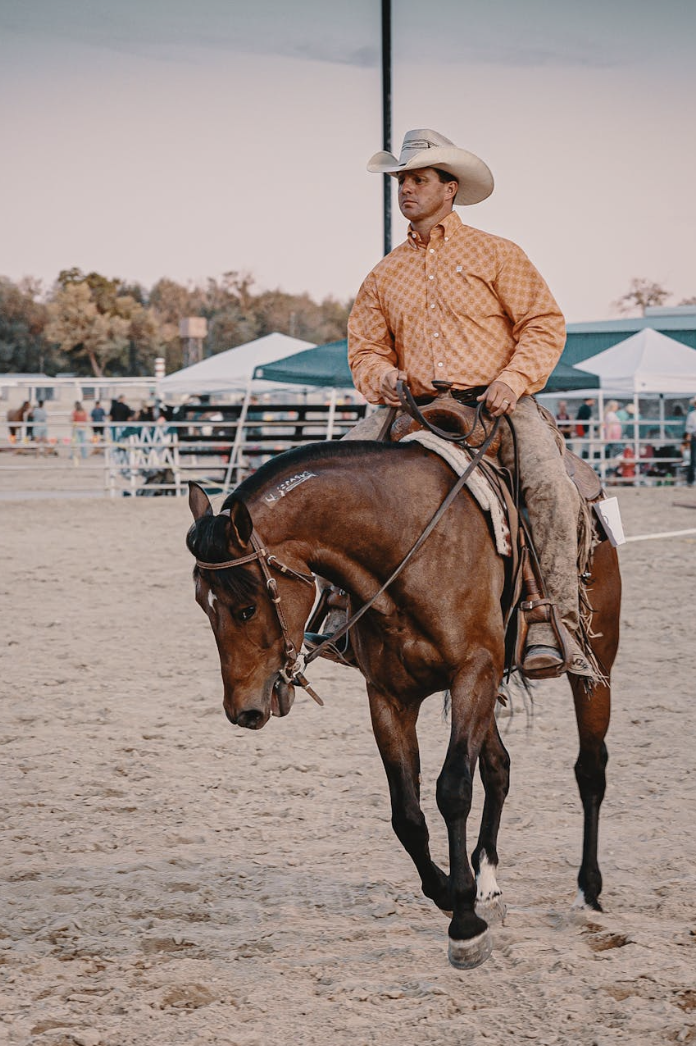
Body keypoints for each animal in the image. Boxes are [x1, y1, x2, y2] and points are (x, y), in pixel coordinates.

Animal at [184, 437, 619, 966]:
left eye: (246, 609)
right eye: (203, 604)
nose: (241, 710)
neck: (407, 550)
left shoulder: (473, 672)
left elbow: (453, 789)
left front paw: (465, 927)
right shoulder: (390, 698)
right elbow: (407, 814)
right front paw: (452, 892)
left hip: (592, 663)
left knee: (590, 769)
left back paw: (587, 893)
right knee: (498, 768)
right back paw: (488, 886)